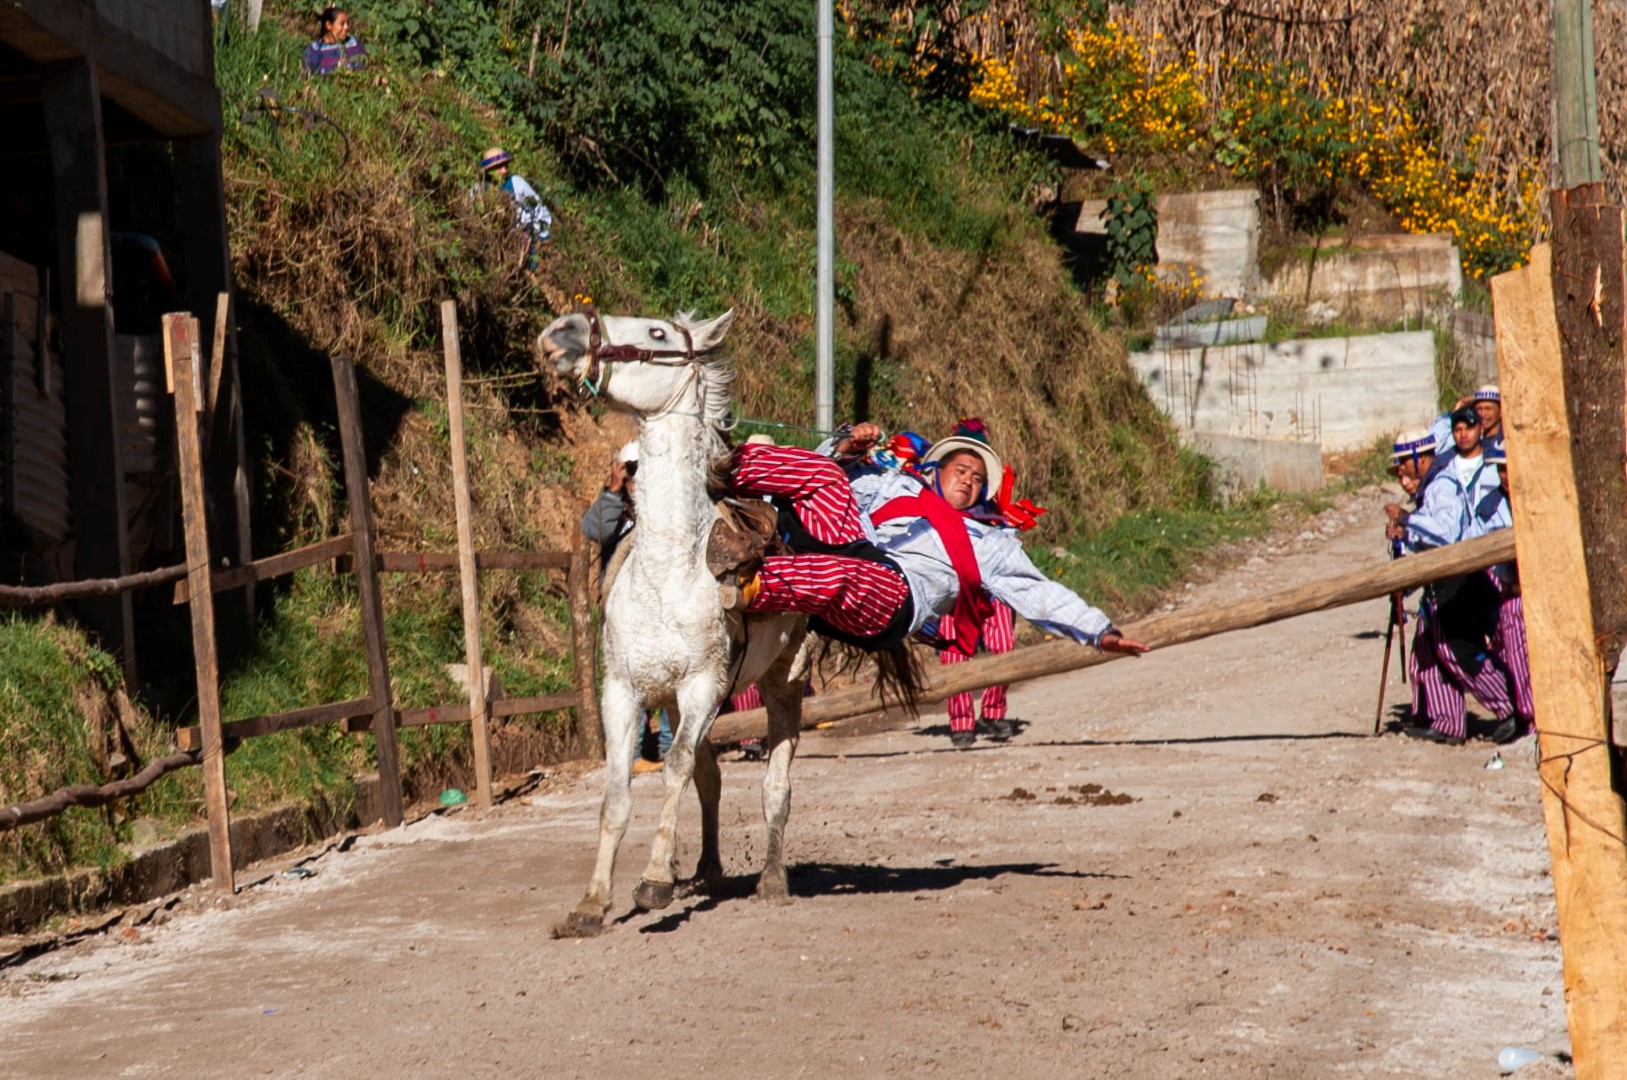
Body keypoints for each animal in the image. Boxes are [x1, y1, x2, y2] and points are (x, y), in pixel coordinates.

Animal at [536, 307, 810, 930]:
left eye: (657, 332)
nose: (563, 331)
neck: (668, 572)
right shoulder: (624, 692)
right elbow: (618, 792)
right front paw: (592, 903)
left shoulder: (704, 686)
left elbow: (676, 769)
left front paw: (655, 881)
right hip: (674, 703)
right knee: (710, 778)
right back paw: (707, 872)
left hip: (781, 682)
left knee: (774, 784)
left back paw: (772, 879)